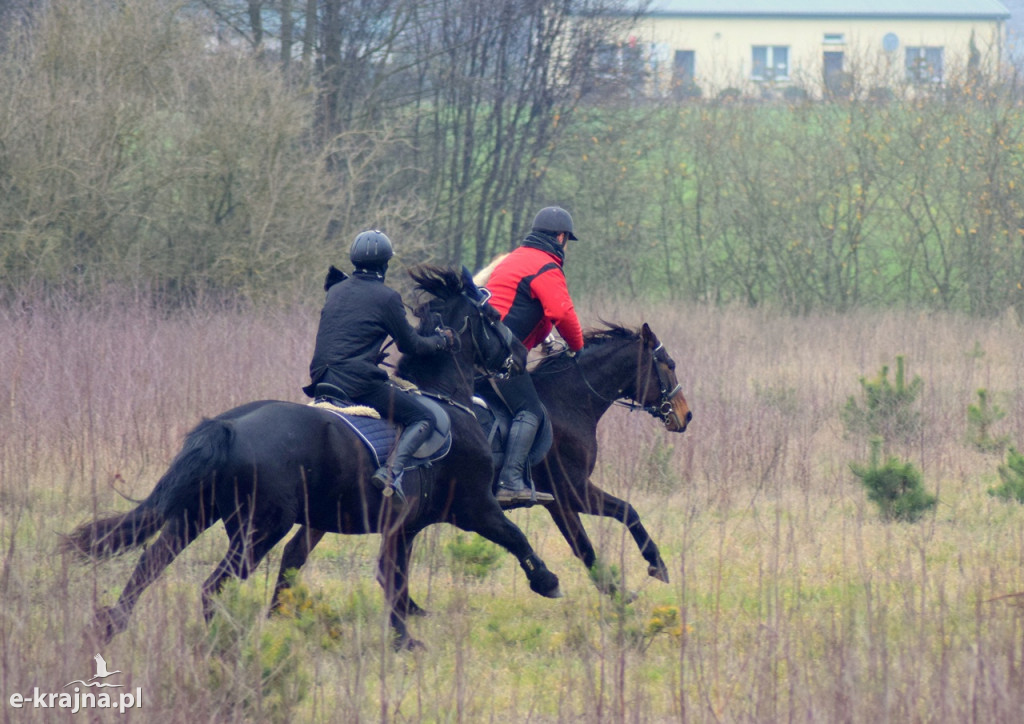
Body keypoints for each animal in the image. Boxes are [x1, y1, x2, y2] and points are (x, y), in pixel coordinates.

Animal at [58, 266, 561, 651]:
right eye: (491, 315)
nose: (519, 355)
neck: (448, 402)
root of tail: (226, 427)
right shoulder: (475, 508)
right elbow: (513, 538)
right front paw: (547, 582)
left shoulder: (403, 527)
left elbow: (393, 581)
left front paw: (402, 636)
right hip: (257, 530)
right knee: (211, 586)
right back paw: (224, 643)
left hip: (194, 515)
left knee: (147, 568)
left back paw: (108, 628)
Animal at [272, 323, 692, 610]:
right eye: (668, 364)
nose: (685, 416)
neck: (568, 401)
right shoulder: (568, 495)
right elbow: (603, 532)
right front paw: (640, 576)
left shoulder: (565, 498)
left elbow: (609, 525)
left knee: (294, 554)